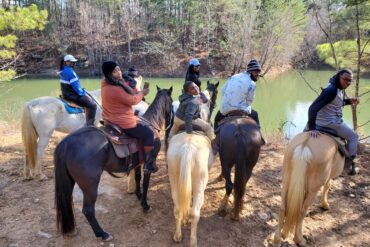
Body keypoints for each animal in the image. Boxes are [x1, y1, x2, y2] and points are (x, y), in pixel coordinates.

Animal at [54, 86, 173, 240]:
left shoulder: (138, 163)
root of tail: (67, 142)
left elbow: (137, 178)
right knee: (88, 210)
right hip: (90, 186)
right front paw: (145, 205)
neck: (150, 123)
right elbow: (146, 184)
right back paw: (101, 233)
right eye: (172, 102)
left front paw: (138, 195)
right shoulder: (148, 164)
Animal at [166, 80, 218, 245]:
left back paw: (177, 235)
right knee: (195, 213)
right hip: (200, 184)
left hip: (175, 180)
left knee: (177, 209)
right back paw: (193, 241)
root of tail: (187, 148)